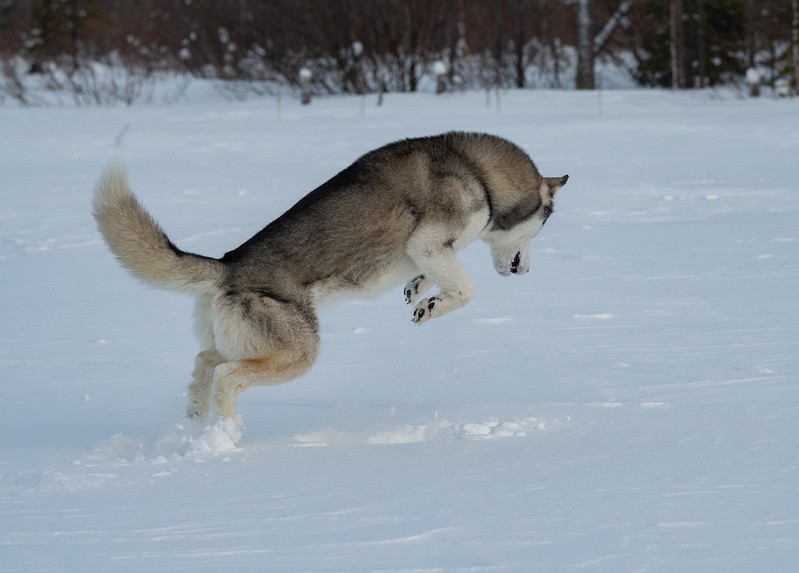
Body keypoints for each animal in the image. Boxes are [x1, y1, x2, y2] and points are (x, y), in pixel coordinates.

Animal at [94, 132, 568, 422]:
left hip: (236, 339)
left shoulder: (431, 254)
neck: (479, 174)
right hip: (299, 351)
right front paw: (430, 307)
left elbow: (435, 277)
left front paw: (419, 289)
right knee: (228, 376)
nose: (525, 270)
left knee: (204, 365)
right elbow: (467, 291)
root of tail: (228, 264)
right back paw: (226, 438)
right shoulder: (430, 243)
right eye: (544, 224)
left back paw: (196, 433)